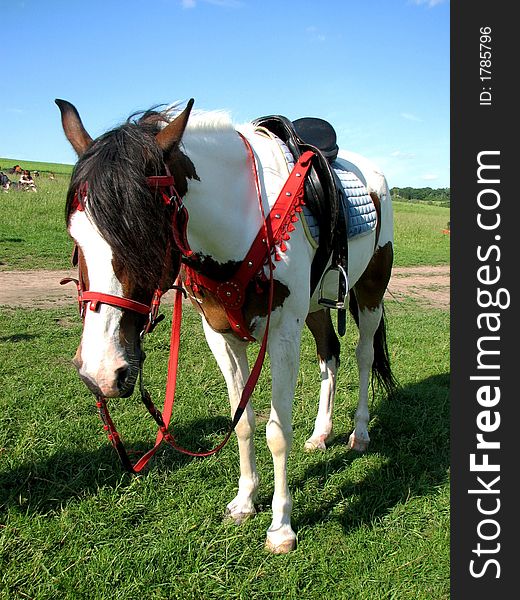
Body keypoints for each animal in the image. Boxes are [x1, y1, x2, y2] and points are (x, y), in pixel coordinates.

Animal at [55, 97, 394, 552]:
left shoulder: (283, 335)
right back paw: (322, 434)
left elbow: (277, 431)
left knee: (362, 356)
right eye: (76, 238)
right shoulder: (220, 336)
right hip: (316, 305)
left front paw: (281, 526)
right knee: (330, 356)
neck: (244, 218)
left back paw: (359, 434)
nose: (101, 372)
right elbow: (243, 422)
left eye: (144, 234)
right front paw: (245, 501)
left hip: (371, 291)